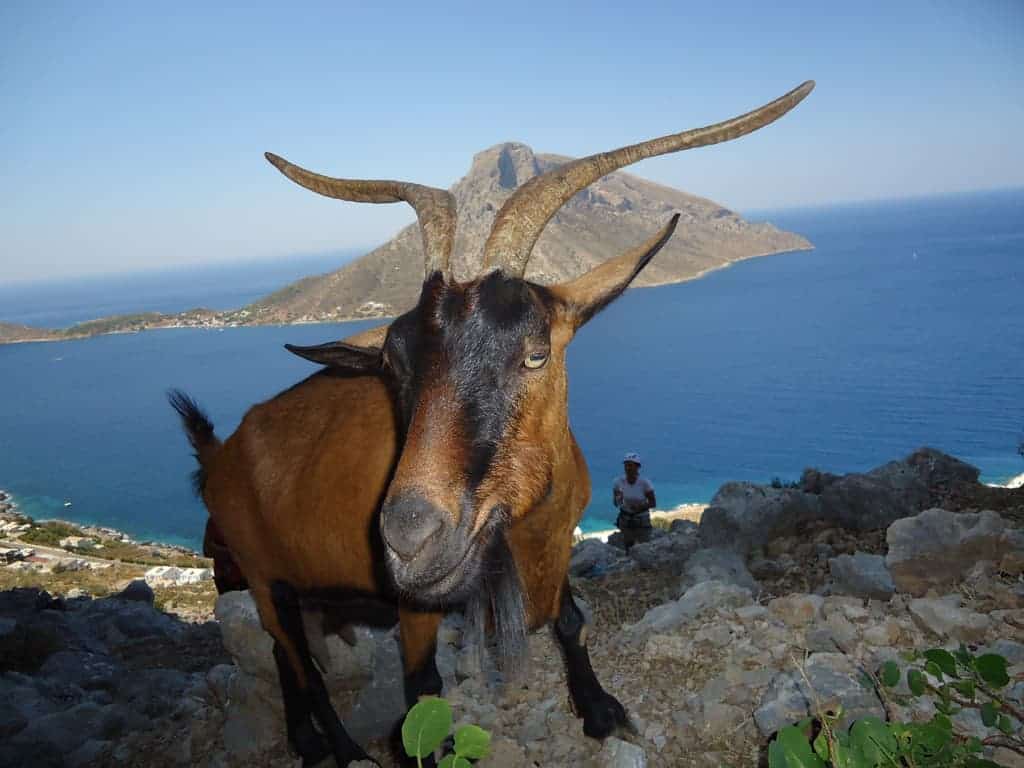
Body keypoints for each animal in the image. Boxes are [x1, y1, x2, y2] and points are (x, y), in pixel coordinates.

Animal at [174, 79, 815, 768]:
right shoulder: (418, 606)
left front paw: (601, 712)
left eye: (535, 353)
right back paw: (338, 750)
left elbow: (571, 622)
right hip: (264, 581)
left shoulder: (553, 547)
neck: (529, 524)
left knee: (285, 657)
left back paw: (315, 743)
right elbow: (422, 689)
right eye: (393, 366)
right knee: (297, 662)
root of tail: (218, 455)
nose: (408, 539)